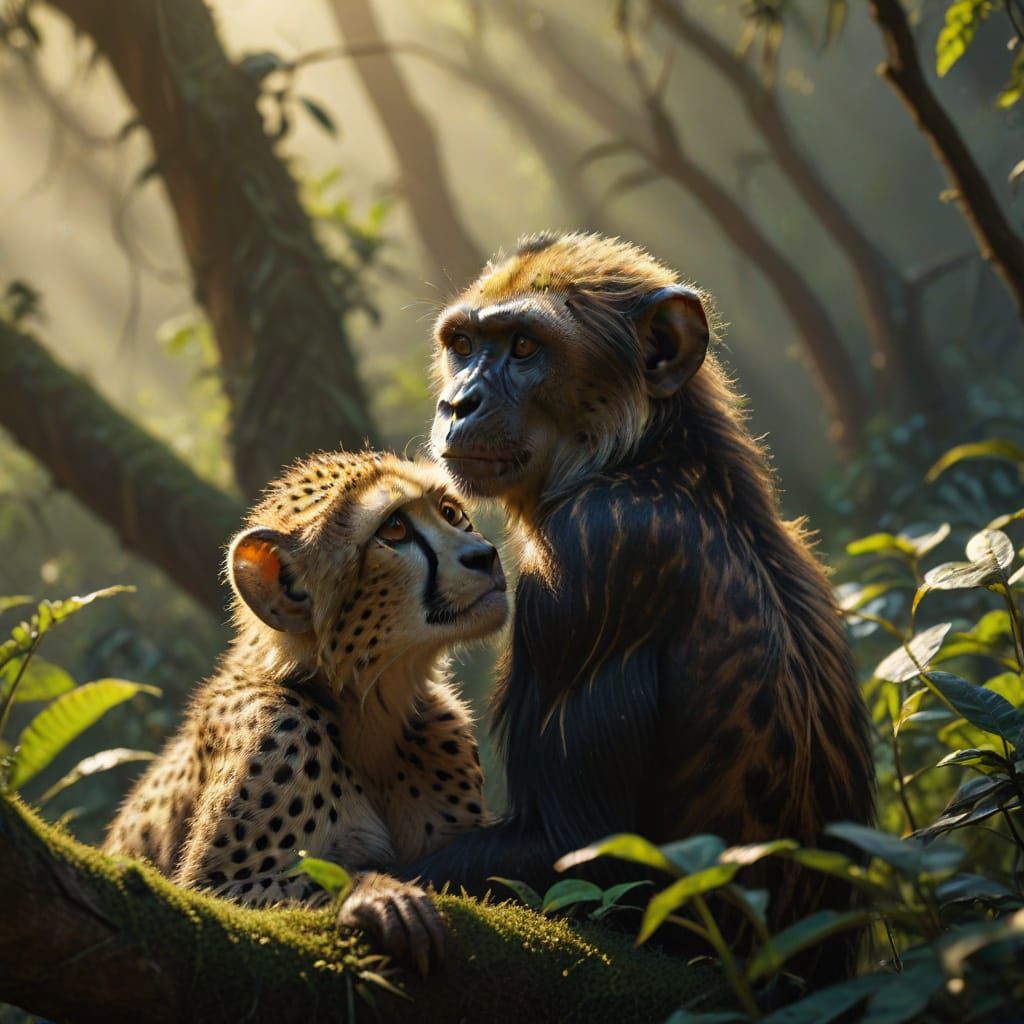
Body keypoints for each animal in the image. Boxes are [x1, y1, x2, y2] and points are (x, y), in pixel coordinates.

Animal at [396, 231, 875, 983]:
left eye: (525, 346)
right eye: (464, 344)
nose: (459, 401)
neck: (645, 456)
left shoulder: (593, 554)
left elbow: (576, 849)